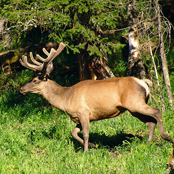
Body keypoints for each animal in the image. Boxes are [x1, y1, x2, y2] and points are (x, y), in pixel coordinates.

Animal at [19, 42, 174, 152]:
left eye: (35, 80)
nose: (22, 89)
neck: (65, 98)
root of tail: (144, 83)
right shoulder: (78, 117)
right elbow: (74, 133)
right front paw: (93, 146)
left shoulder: (83, 112)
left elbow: (86, 134)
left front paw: (85, 151)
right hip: (133, 108)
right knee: (150, 122)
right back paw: (147, 143)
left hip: (135, 102)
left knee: (157, 111)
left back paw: (167, 137)